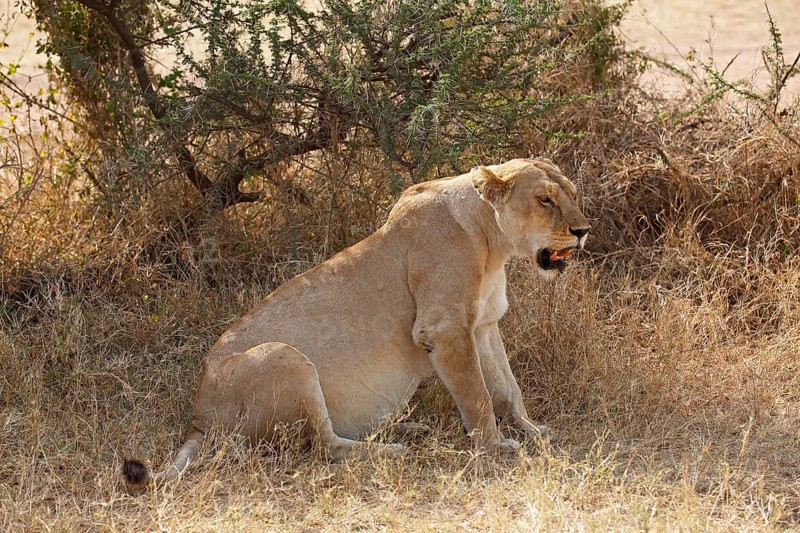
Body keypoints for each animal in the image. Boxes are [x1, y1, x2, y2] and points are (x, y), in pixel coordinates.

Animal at [123, 158, 590, 485]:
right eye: (545, 199)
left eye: (571, 193)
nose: (584, 230)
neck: (493, 243)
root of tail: (198, 417)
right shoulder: (445, 328)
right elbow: (477, 395)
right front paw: (495, 449)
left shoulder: (483, 325)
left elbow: (507, 388)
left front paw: (533, 431)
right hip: (284, 357)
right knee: (324, 448)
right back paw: (394, 450)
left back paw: (410, 429)